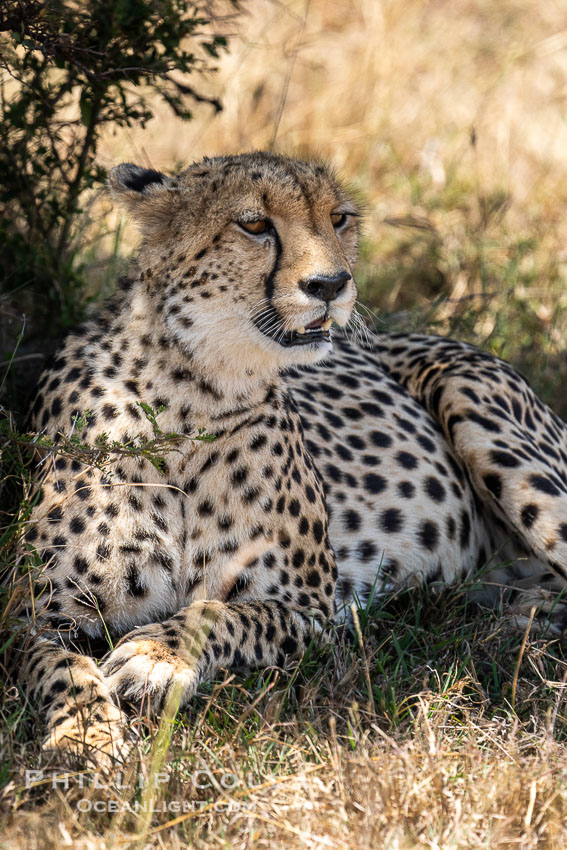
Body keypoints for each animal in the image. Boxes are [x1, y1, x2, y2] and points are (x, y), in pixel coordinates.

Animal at [17, 150, 567, 766]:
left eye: (339, 218)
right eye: (255, 224)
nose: (330, 284)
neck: (191, 395)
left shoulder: (317, 612)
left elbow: (222, 612)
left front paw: (155, 656)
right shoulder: (34, 612)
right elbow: (60, 665)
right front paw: (83, 733)